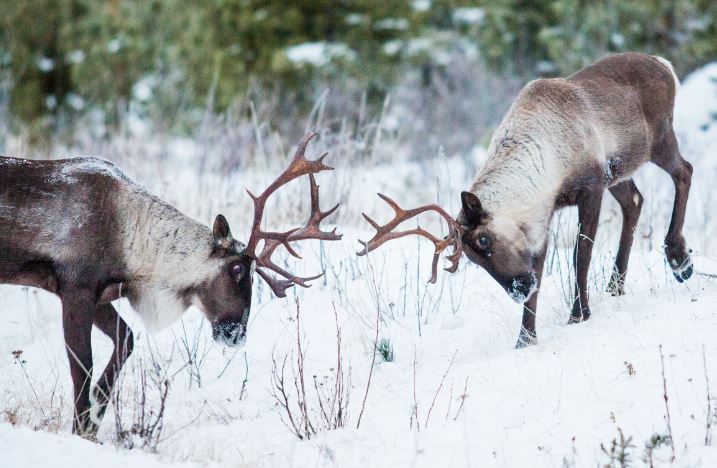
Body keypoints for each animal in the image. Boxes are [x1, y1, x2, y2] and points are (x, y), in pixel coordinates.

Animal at [0, 131, 341, 438]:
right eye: (236, 268)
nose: (235, 335)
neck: (131, 241)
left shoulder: (101, 295)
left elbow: (126, 341)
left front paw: (95, 413)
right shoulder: (76, 289)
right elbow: (82, 367)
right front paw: (81, 429)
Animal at [358, 52, 693, 348]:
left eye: (483, 240)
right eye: (472, 259)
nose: (518, 290)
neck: (547, 168)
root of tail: (665, 65)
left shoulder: (591, 187)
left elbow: (580, 254)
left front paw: (578, 316)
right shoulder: (541, 217)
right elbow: (540, 269)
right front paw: (525, 339)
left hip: (659, 139)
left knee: (684, 172)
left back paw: (679, 259)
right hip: (621, 172)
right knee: (635, 201)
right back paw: (616, 286)